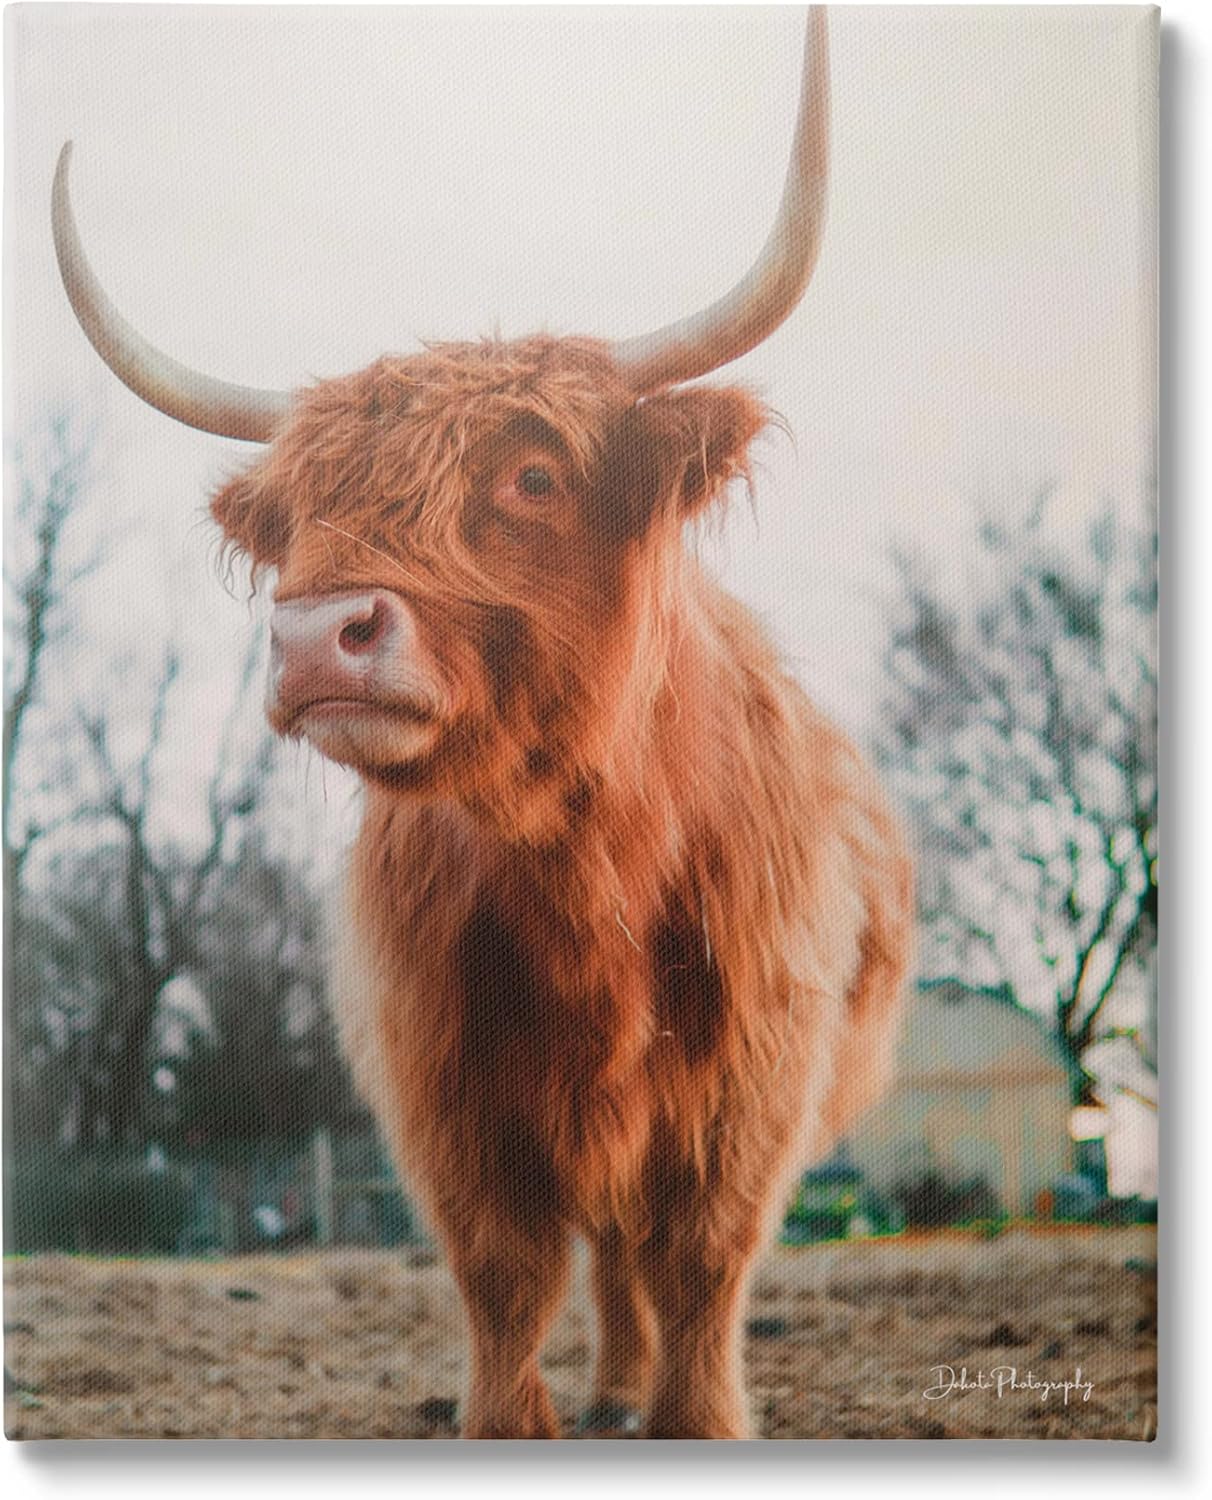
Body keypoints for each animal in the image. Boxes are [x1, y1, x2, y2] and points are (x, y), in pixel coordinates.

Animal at [52, 10, 912, 1439]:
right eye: (297, 511)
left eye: (534, 476)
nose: (314, 634)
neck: (589, 877)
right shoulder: (443, 1084)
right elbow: (505, 1275)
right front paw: (515, 1424)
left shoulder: (751, 1082)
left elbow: (701, 1265)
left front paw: (693, 1420)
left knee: (636, 1253)